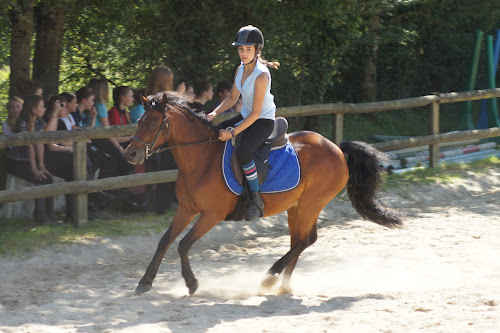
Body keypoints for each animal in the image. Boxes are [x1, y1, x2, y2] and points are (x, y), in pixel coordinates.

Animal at [124, 92, 402, 294]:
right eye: (138, 121)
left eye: (153, 123)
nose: (131, 154)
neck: (202, 159)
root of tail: (336, 148)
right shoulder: (187, 208)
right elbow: (165, 240)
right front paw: (145, 282)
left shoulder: (212, 214)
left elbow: (183, 244)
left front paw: (192, 283)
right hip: (297, 207)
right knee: (299, 240)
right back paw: (283, 284)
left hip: (311, 204)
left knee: (306, 240)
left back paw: (269, 278)